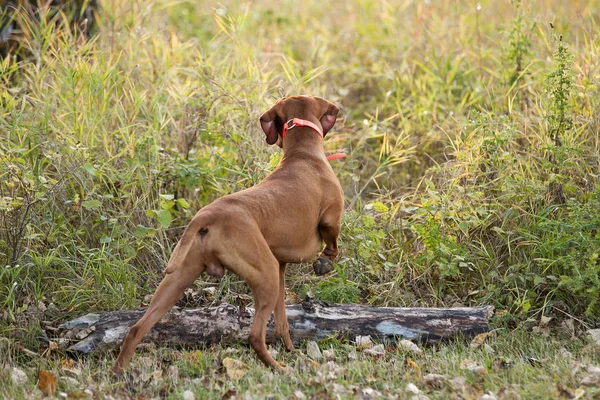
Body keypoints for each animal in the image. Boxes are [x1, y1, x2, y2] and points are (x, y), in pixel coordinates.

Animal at [112, 95, 344, 374]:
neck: (303, 154)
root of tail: (206, 216)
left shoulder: (280, 268)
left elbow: (282, 324)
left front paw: (291, 350)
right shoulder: (330, 219)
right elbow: (332, 243)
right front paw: (325, 262)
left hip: (178, 278)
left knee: (136, 329)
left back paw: (119, 372)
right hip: (265, 275)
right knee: (254, 337)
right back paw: (278, 368)